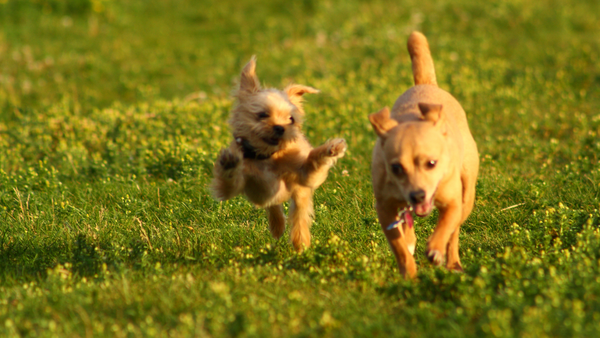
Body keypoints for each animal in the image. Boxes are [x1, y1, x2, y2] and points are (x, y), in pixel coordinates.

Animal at [211, 56, 346, 251]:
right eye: (262, 115)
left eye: (291, 119)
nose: (280, 128)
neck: (269, 157)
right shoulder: (235, 187)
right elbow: (229, 182)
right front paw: (229, 163)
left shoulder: (305, 175)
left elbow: (313, 159)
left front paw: (332, 148)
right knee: (274, 206)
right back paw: (277, 228)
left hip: (299, 196)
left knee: (298, 217)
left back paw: (300, 243)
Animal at [368, 31, 480, 278]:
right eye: (396, 168)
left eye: (431, 163)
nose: (417, 195)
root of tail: (425, 84)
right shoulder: (385, 208)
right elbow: (399, 245)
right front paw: (409, 273)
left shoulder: (453, 202)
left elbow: (447, 226)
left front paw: (436, 249)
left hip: (467, 194)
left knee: (455, 229)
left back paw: (453, 262)